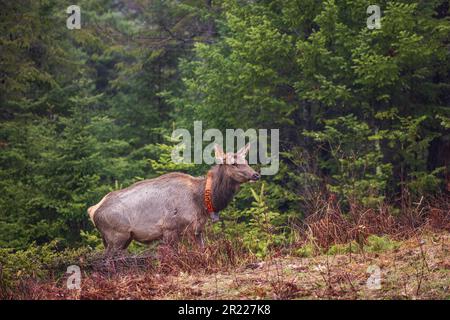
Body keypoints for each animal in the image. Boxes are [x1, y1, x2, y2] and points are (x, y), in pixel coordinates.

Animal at [87, 144, 260, 256]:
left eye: (246, 161)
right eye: (233, 163)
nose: (256, 174)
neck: (201, 202)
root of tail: (93, 210)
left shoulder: (197, 230)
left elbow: (203, 252)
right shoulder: (169, 229)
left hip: (121, 239)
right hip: (116, 236)